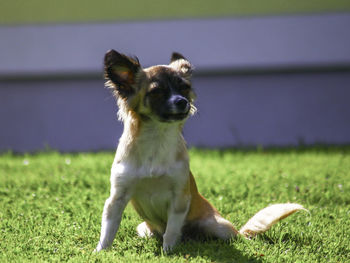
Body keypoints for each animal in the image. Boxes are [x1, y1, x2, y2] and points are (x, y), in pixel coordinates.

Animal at [94, 50, 304, 254]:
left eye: (184, 88)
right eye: (156, 91)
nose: (182, 101)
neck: (157, 139)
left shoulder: (179, 198)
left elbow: (171, 231)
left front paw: (168, 252)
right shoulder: (116, 198)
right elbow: (108, 229)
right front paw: (101, 251)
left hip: (219, 227)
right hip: (144, 229)